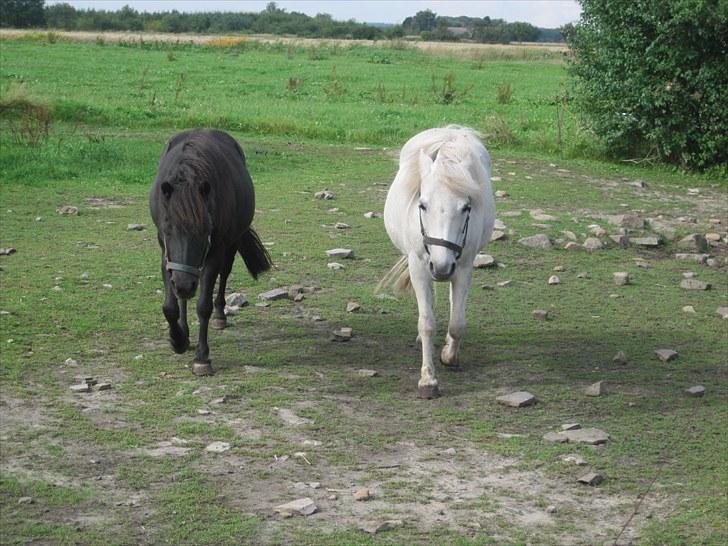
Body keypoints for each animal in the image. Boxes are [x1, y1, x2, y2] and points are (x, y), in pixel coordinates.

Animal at [149, 129, 272, 374]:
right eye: (168, 229)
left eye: (205, 230)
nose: (184, 285)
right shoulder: (166, 254)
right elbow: (170, 307)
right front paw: (178, 340)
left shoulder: (214, 253)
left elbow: (203, 305)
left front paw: (202, 358)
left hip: (230, 245)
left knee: (224, 275)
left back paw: (220, 315)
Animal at [382, 125, 494, 398]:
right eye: (422, 205)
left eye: (466, 207)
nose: (442, 267)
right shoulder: (420, 267)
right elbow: (427, 323)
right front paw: (428, 380)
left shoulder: (463, 268)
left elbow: (457, 323)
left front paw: (448, 355)